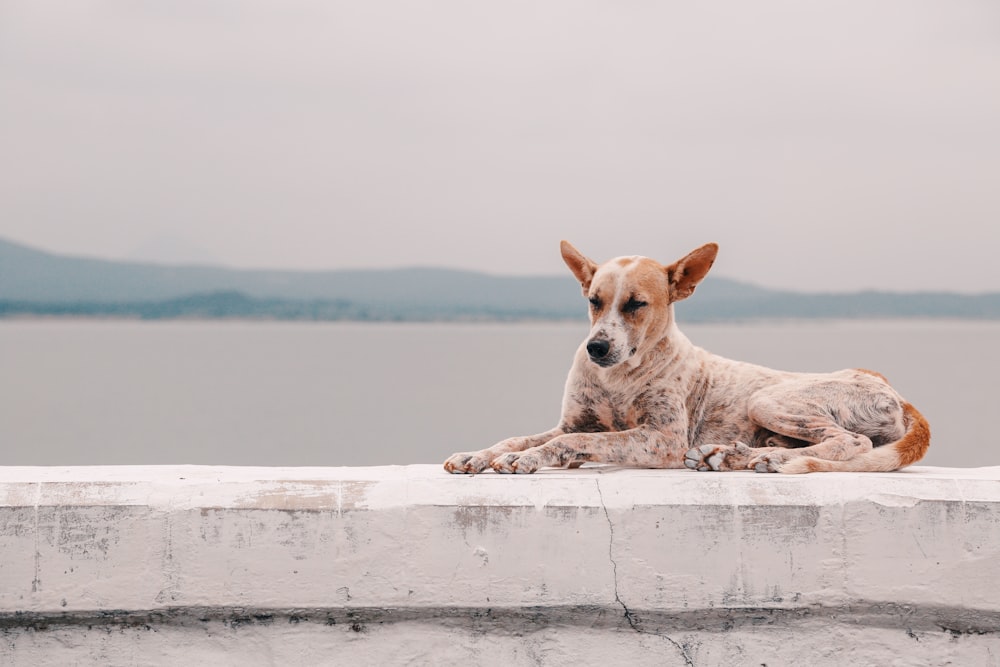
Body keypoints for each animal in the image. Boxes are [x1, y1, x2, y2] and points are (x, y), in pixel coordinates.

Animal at [444, 240, 928, 474]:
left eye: (636, 304)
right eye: (593, 301)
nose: (596, 348)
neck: (620, 377)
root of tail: (896, 393)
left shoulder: (662, 438)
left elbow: (572, 443)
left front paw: (526, 460)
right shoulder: (574, 420)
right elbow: (519, 438)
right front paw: (479, 455)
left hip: (769, 399)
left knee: (851, 443)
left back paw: (765, 460)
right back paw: (735, 455)